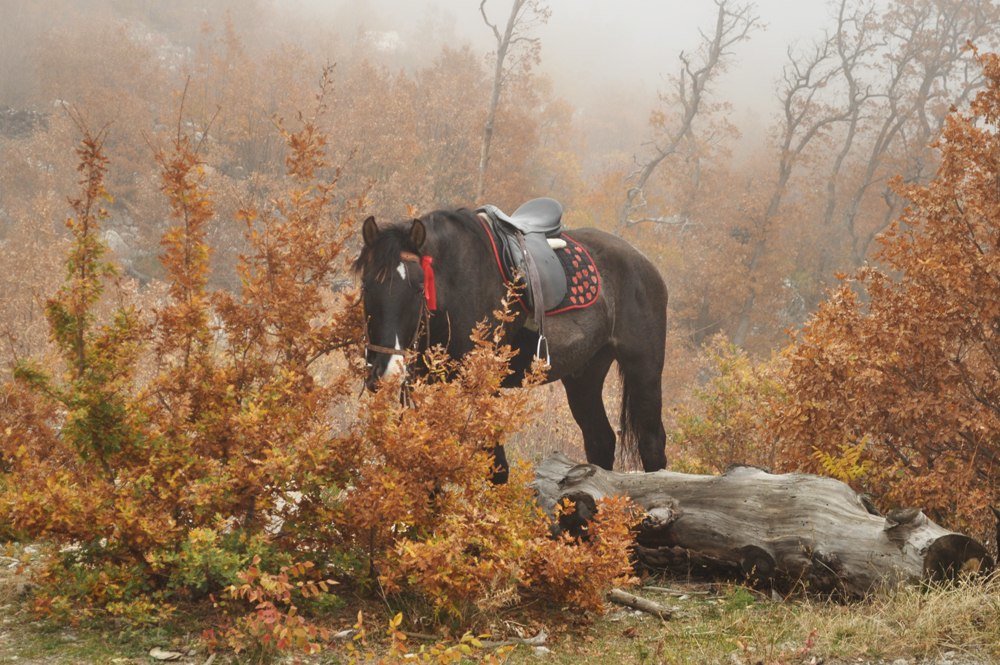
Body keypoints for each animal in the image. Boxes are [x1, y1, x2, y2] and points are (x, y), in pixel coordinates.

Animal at [356, 205, 668, 474]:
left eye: (420, 287)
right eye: (366, 285)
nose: (385, 370)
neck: (456, 286)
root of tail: (644, 263)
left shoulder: (485, 386)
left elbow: (497, 468)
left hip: (644, 371)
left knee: (652, 443)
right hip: (585, 376)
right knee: (600, 440)